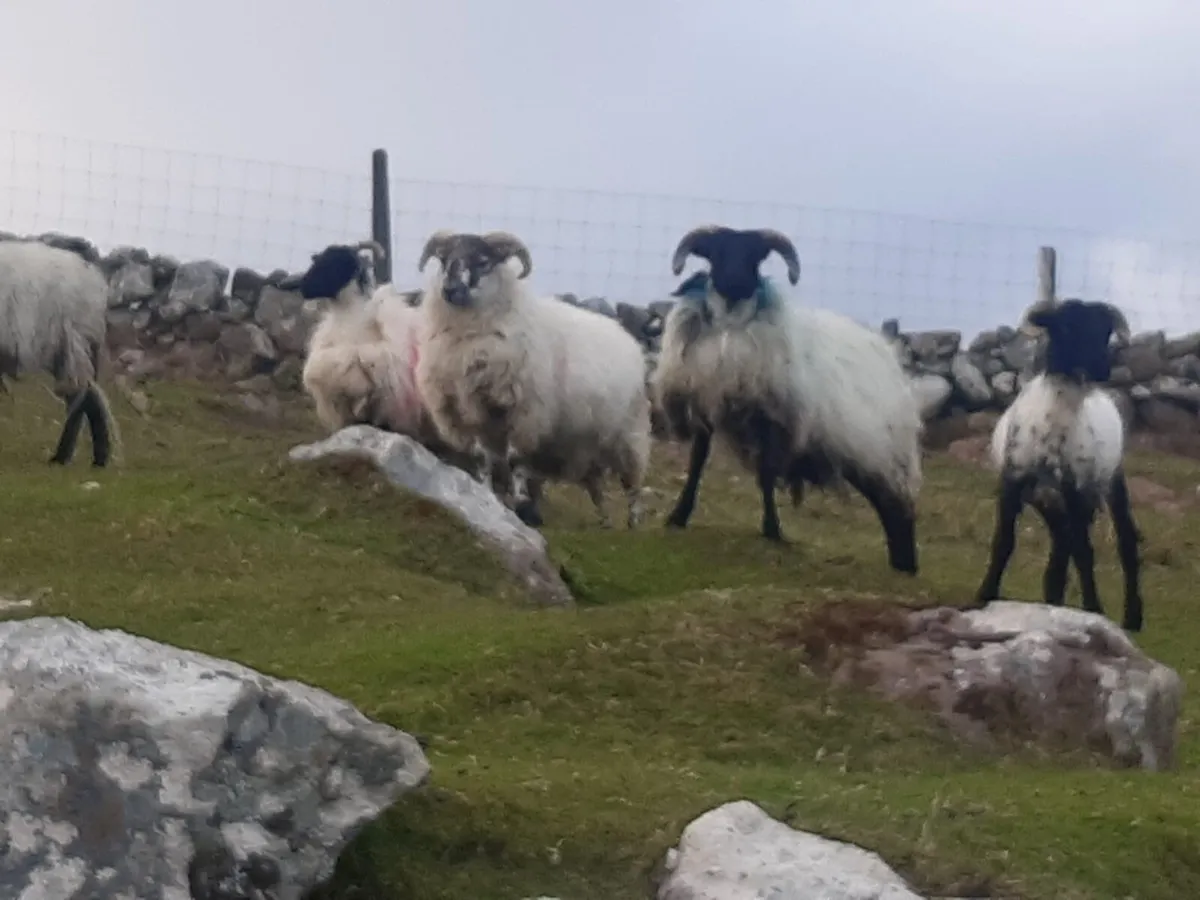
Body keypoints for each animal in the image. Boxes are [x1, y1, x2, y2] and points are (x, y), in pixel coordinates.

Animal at [414, 229, 652, 529]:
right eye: (445, 260)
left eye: (483, 261)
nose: (449, 289)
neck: (468, 338)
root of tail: (626, 335)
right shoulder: (470, 413)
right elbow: (482, 459)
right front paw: (486, 495)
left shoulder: (523, 411)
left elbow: (515, 461)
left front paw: (518, 500)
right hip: (588, 446)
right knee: (597, 487)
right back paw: (606, 524)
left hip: (629, 435)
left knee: (632, 484)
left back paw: (633, 524)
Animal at [651, 225, 924, 574]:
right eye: (715, 252)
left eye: (756, 255)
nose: (736, 281)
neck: (731, 329)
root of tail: (891, 360)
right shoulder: (705, 408)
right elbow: (697, 463)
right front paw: (678, 515)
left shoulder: (772, 419)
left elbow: (766, 475)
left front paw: (772, 531)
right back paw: (901, 563)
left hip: (883, 450)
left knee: (898, 507)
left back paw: (906, 564)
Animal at [974, 297, 1143, 632]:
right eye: (1065, 327)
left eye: (1106, 331)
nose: (1102, 368)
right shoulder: (1013, 480)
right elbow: (1004, 542)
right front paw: (984, 595)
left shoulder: (1076, 487)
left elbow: (1084, 553)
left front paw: (1094, 609)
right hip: (1048, 500)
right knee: (1062, 543)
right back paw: (1053, 596)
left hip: (1108, 481)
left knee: (1124, 542)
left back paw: (1132, 616)